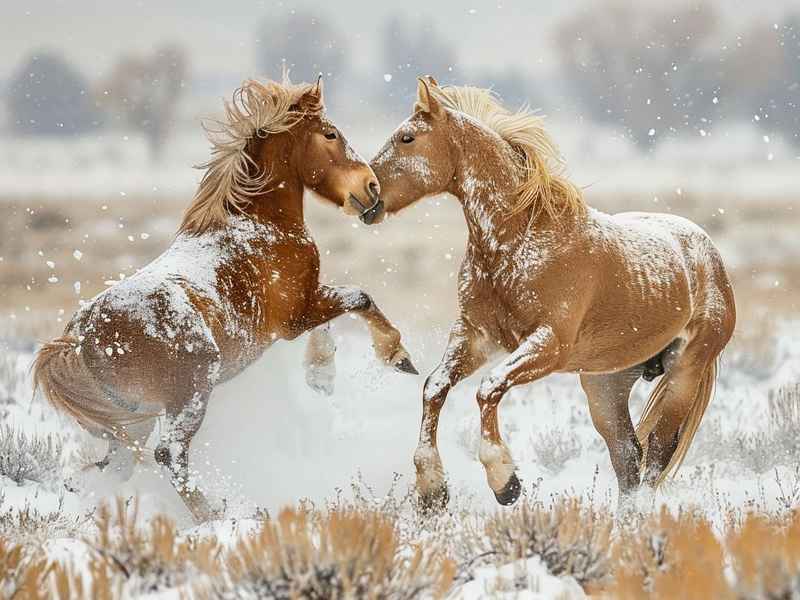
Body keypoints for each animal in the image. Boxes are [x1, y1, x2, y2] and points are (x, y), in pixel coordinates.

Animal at [32, 77, 417, 522]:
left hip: (131, 421)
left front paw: (322, 376)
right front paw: (397, 357)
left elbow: (334, 321)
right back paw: (216, 515)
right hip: (190, 394)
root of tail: (82, 339)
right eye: (330, 134)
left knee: (117, 465)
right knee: (169, 455)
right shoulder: (296, 316)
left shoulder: (306, 306)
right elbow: (360, 299)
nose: (371, 190)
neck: (258, 224)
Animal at [368, 76, 736, 510]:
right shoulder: (476, 336)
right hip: (604, 386)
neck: (515, 242)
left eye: (407, 138)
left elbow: (489, 388)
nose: (367, 194)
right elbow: (435, 387)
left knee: (656, 456)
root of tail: (709, 254)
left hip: (684, 373)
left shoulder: (547, 345)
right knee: (628, 459)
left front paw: (505, 482)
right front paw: (432, 488)